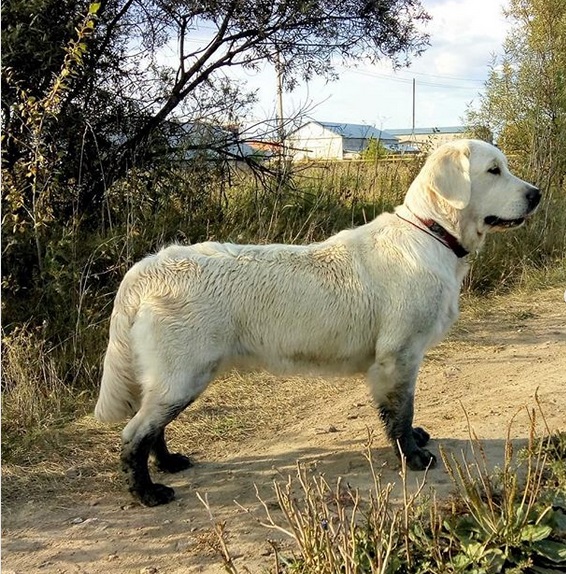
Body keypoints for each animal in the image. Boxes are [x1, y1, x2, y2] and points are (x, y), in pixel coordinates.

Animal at [95, 140, 544, 508]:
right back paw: (146, 492)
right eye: (494, 170)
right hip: (183, 375)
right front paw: (412, 457)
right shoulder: (397, 357)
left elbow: (403, 414)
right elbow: (400, 413)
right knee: (134, 435)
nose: (537, 194)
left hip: (174, 378)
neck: (431, 235)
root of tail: (150, 266)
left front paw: (414, 441)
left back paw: (169, 463)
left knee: (153, 428)